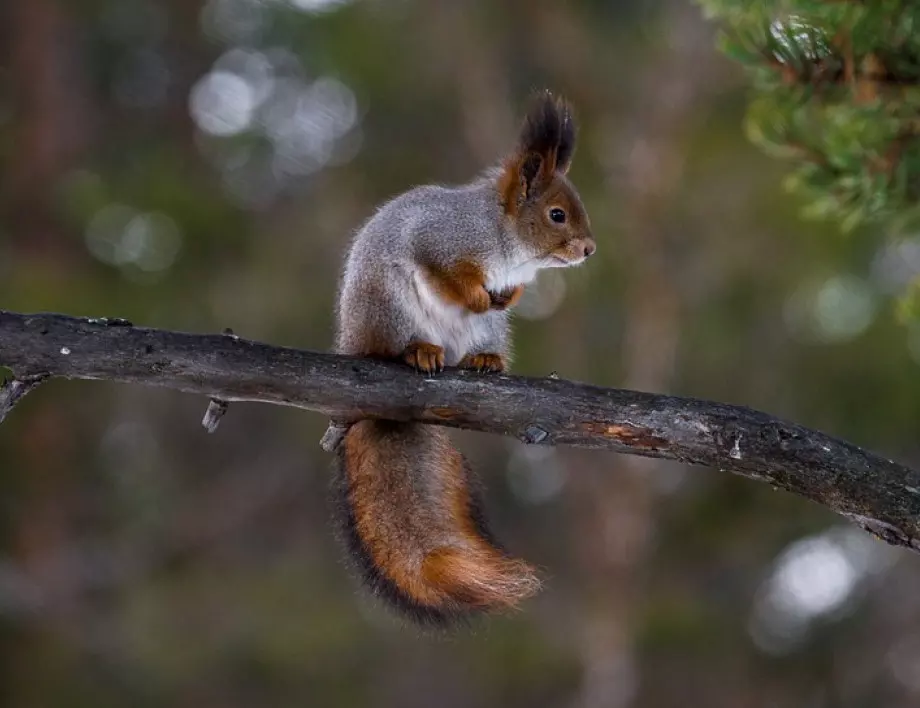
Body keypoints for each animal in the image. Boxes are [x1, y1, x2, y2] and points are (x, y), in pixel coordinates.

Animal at [330, 90, 596, 624]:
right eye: (557, 215)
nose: (589, 249)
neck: (507, 241)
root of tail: (354, 338)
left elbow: (509, 292)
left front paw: (507, 295)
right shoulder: (441, 240)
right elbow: (448, 273)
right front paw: (474, 293)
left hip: (485, 332)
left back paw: (484, 361)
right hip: (390, 306)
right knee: (399, 341)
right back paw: (420, 351)